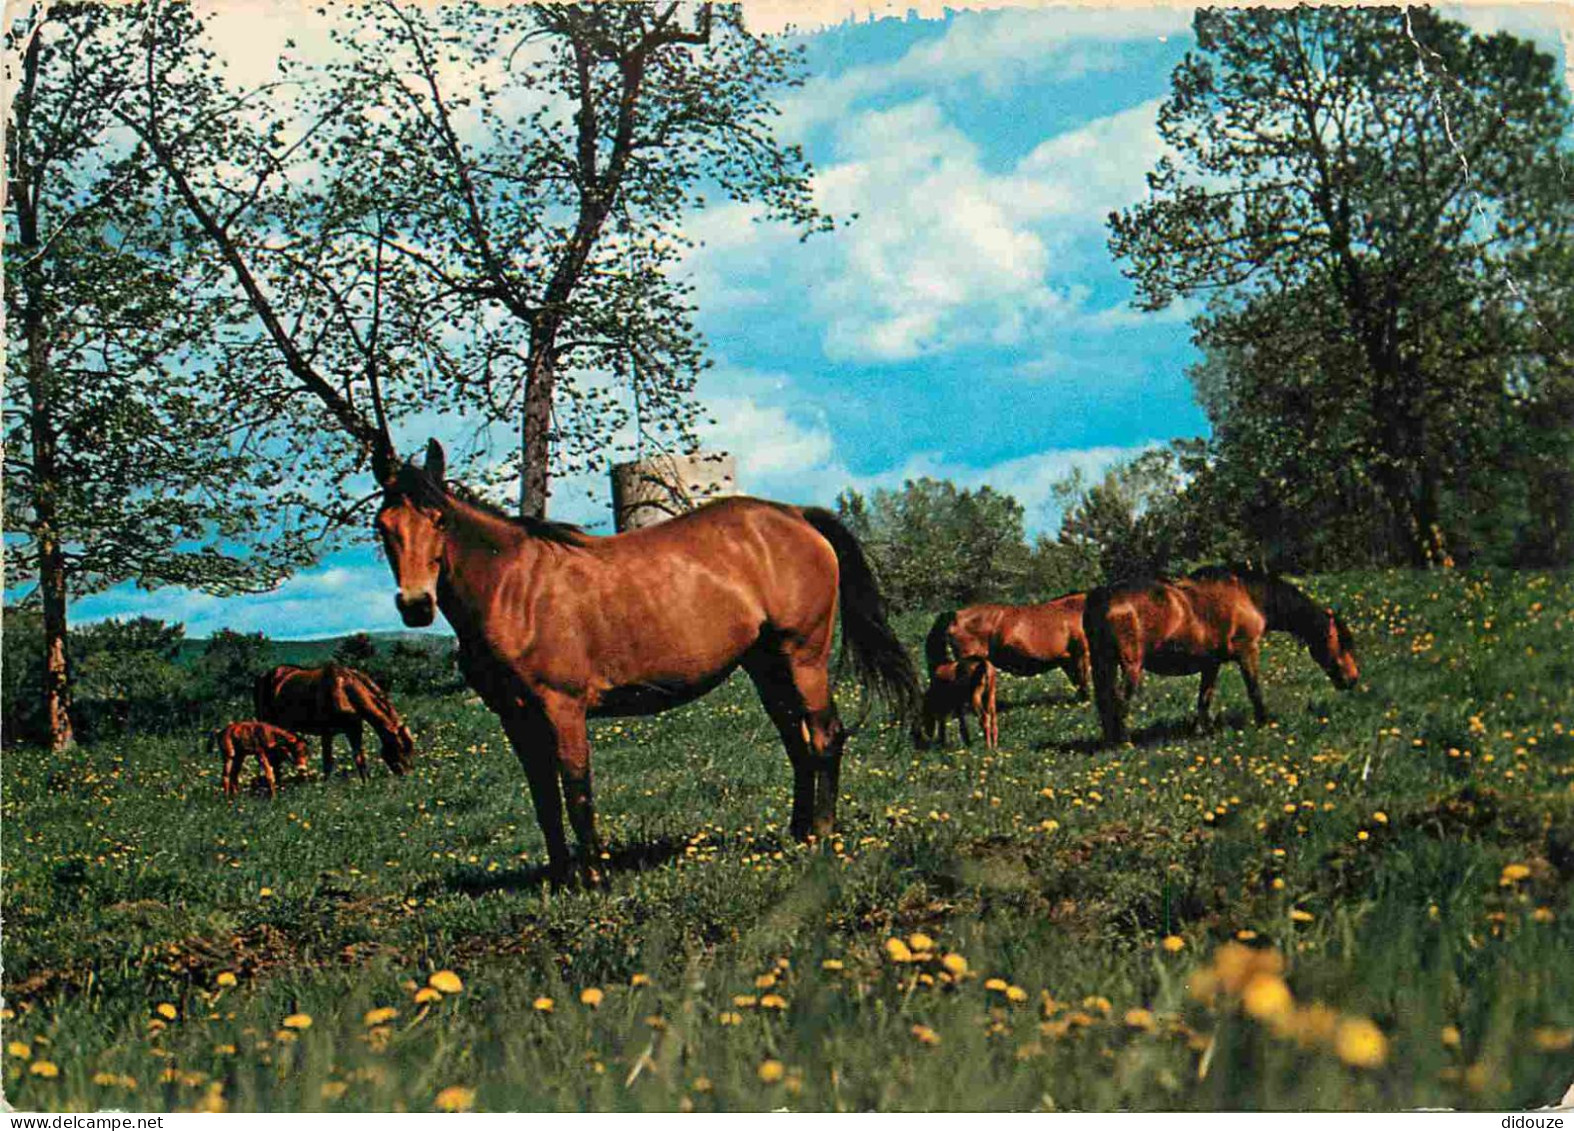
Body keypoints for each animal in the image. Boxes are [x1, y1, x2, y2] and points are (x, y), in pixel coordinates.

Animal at [251, 663, 415, 780]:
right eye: (400, 747)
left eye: (410, 749)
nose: (408, 776)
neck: (344, 689)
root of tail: (264, 676)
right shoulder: (326, 732)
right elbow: (328, 762)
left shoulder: (354, 729)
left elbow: (359, 757)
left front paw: (366, 783)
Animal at [369, 437, 919, 887]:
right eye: (384, 526)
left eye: (439, 520)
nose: (415, 605)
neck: (513, 590)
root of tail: (796, 515)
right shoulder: (516, 718)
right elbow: (544, 797)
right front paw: (559, 880)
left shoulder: (563, 709)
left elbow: (576, 788)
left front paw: (594, 879)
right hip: (766, 665)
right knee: (796, 741)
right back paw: (798, 832)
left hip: (803, 656)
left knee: (824, 735)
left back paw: (822, 833)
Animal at [1082, 563, 1366, 742]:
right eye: (1343, 642)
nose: (1352, 679)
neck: (1249, 597)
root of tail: (1104, 595)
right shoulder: (1247, 650)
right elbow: (1254, 689)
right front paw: (1265, 722)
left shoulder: (1211, 663)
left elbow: (1204, 698)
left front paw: (1203, 731)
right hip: (1130, 665)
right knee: (1119, 700)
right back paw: (1123, 741)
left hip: (1105, 663)